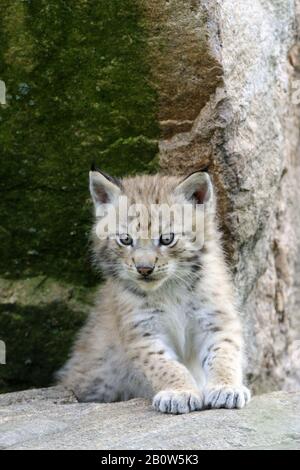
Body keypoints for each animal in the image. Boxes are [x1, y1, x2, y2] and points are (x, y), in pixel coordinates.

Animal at [58, 171, 251, 414]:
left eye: (167, 239)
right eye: (126, 239)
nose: (144, 269)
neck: (170, 288)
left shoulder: (215, 319)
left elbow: (223, 355)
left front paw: (226, 387)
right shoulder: (144, 331)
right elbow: (164, 365)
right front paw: (179, 392)